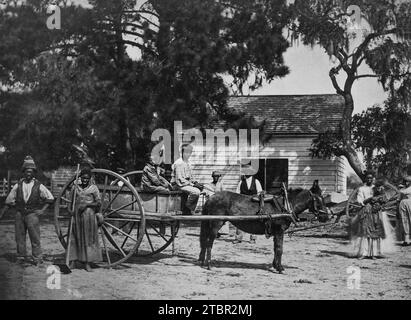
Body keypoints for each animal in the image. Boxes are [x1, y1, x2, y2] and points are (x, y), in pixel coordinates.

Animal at [200, 189, 328, 274]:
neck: (286, 206)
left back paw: (203, 262)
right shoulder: (280, 231)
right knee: (209, 243)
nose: (327, 217)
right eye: (318, 201)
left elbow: (276, 249)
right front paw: (280, 268)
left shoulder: (276, 233)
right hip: (216, 223)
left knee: (205, 242)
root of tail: (211, 198)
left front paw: (275, 266)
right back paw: (209, 264)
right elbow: (280, 249)